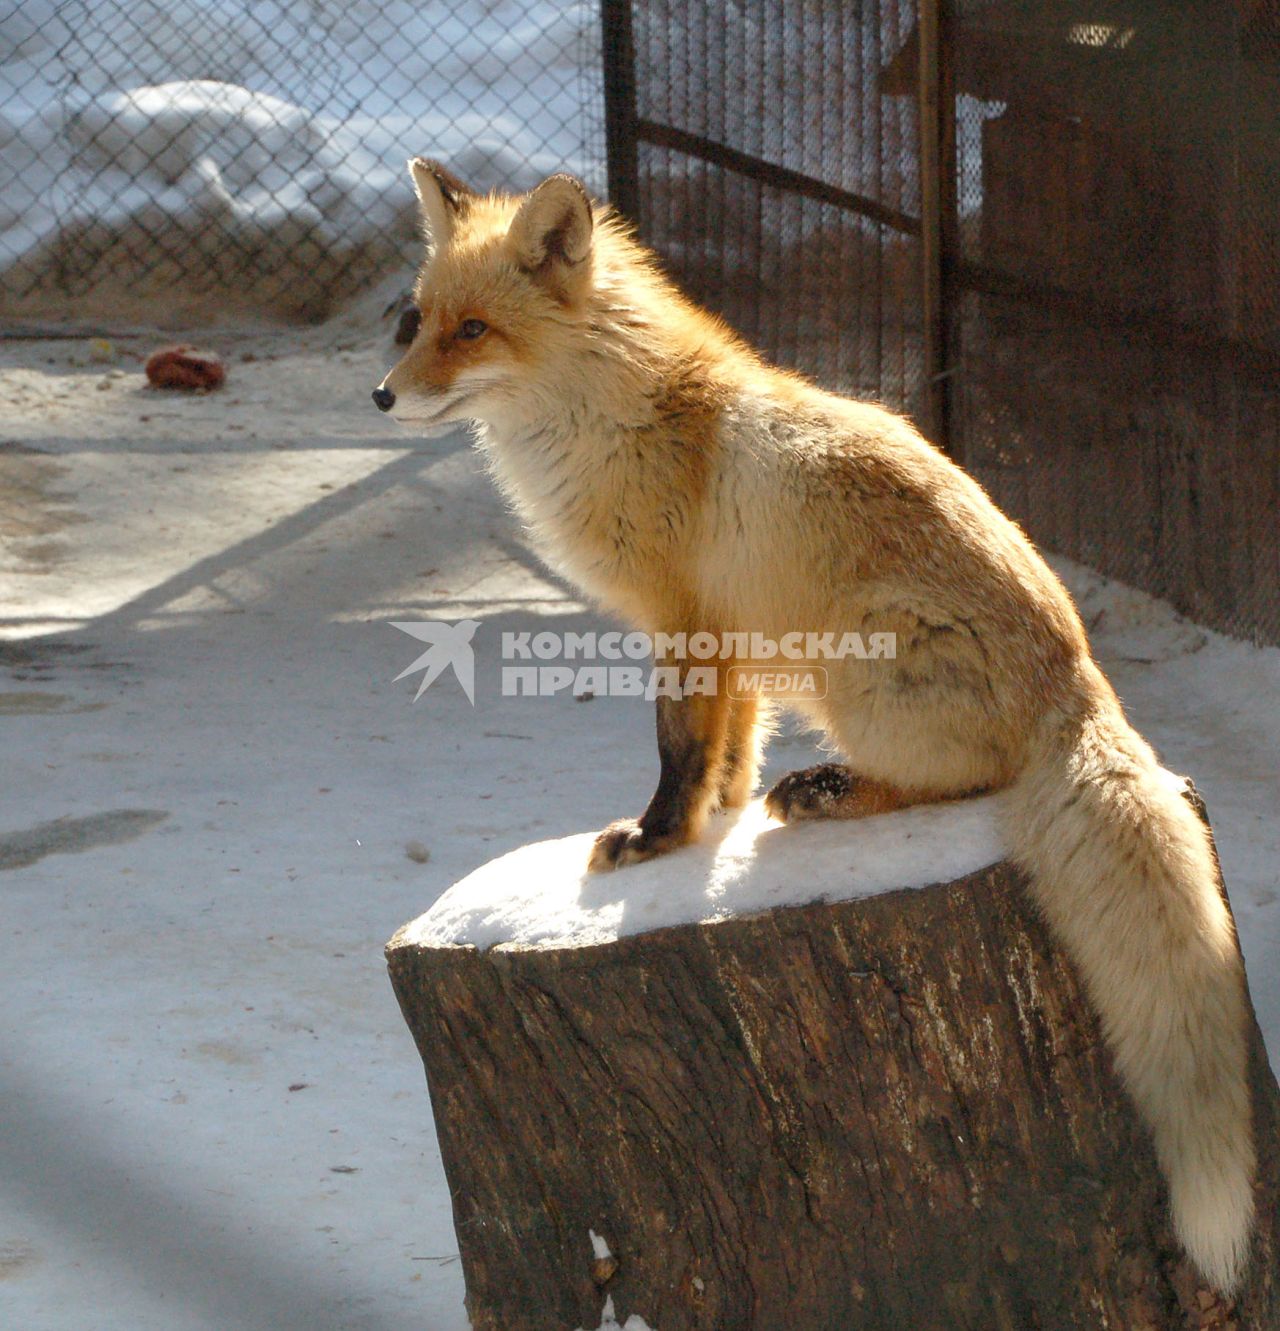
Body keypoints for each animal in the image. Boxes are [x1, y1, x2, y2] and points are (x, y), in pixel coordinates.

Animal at [375, 155, 1250, 1288]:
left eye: (473, 331)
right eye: (418, 320)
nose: (382, 395)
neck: (618, 418)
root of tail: (1083, 684)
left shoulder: (687, 623)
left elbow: (676, 751)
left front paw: (655, 840)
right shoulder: (734, 640)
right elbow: (724, 753)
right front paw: (714, 823)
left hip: (856, 669)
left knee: (965, 782)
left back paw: (830, 791)